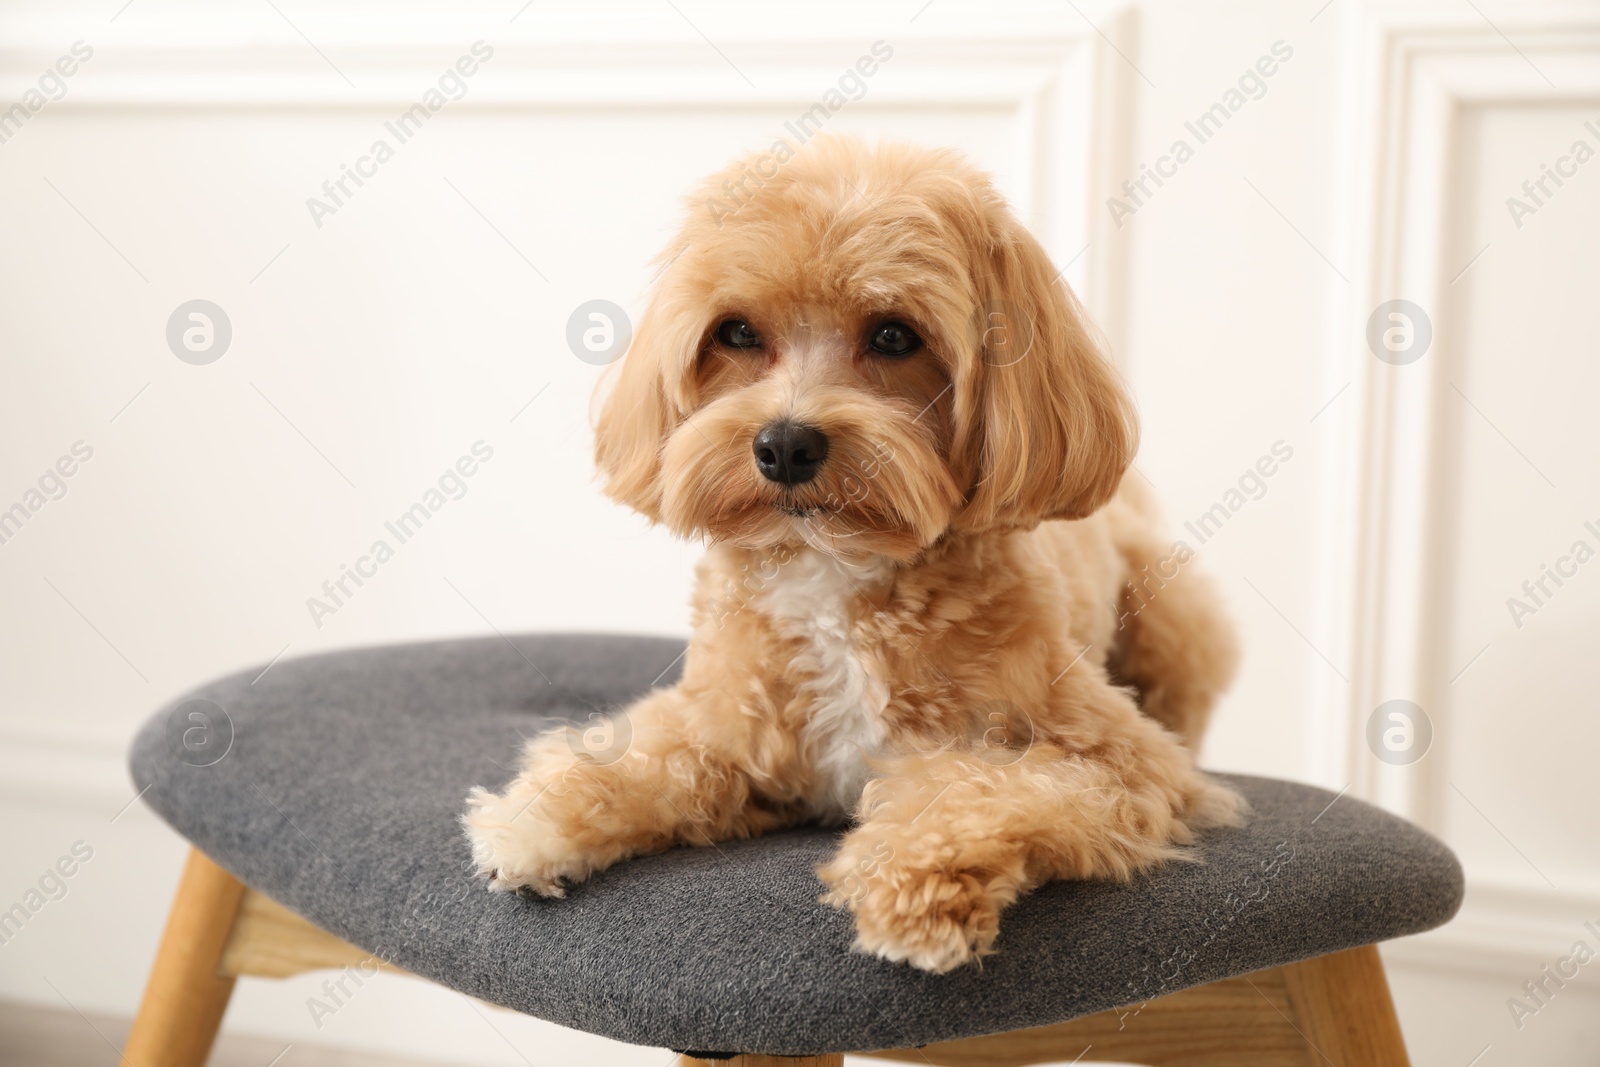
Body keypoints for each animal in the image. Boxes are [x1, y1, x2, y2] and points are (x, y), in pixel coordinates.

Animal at [457, 135, 1241, 979]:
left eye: (895, 334)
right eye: (736, 332)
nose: (784, 444)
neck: (833, 572)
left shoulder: (1124, 762)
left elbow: (973, 785)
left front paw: (916, 884)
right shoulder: (729, 722)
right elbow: (647, 755)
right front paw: (538, 816)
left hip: (1178, 623)